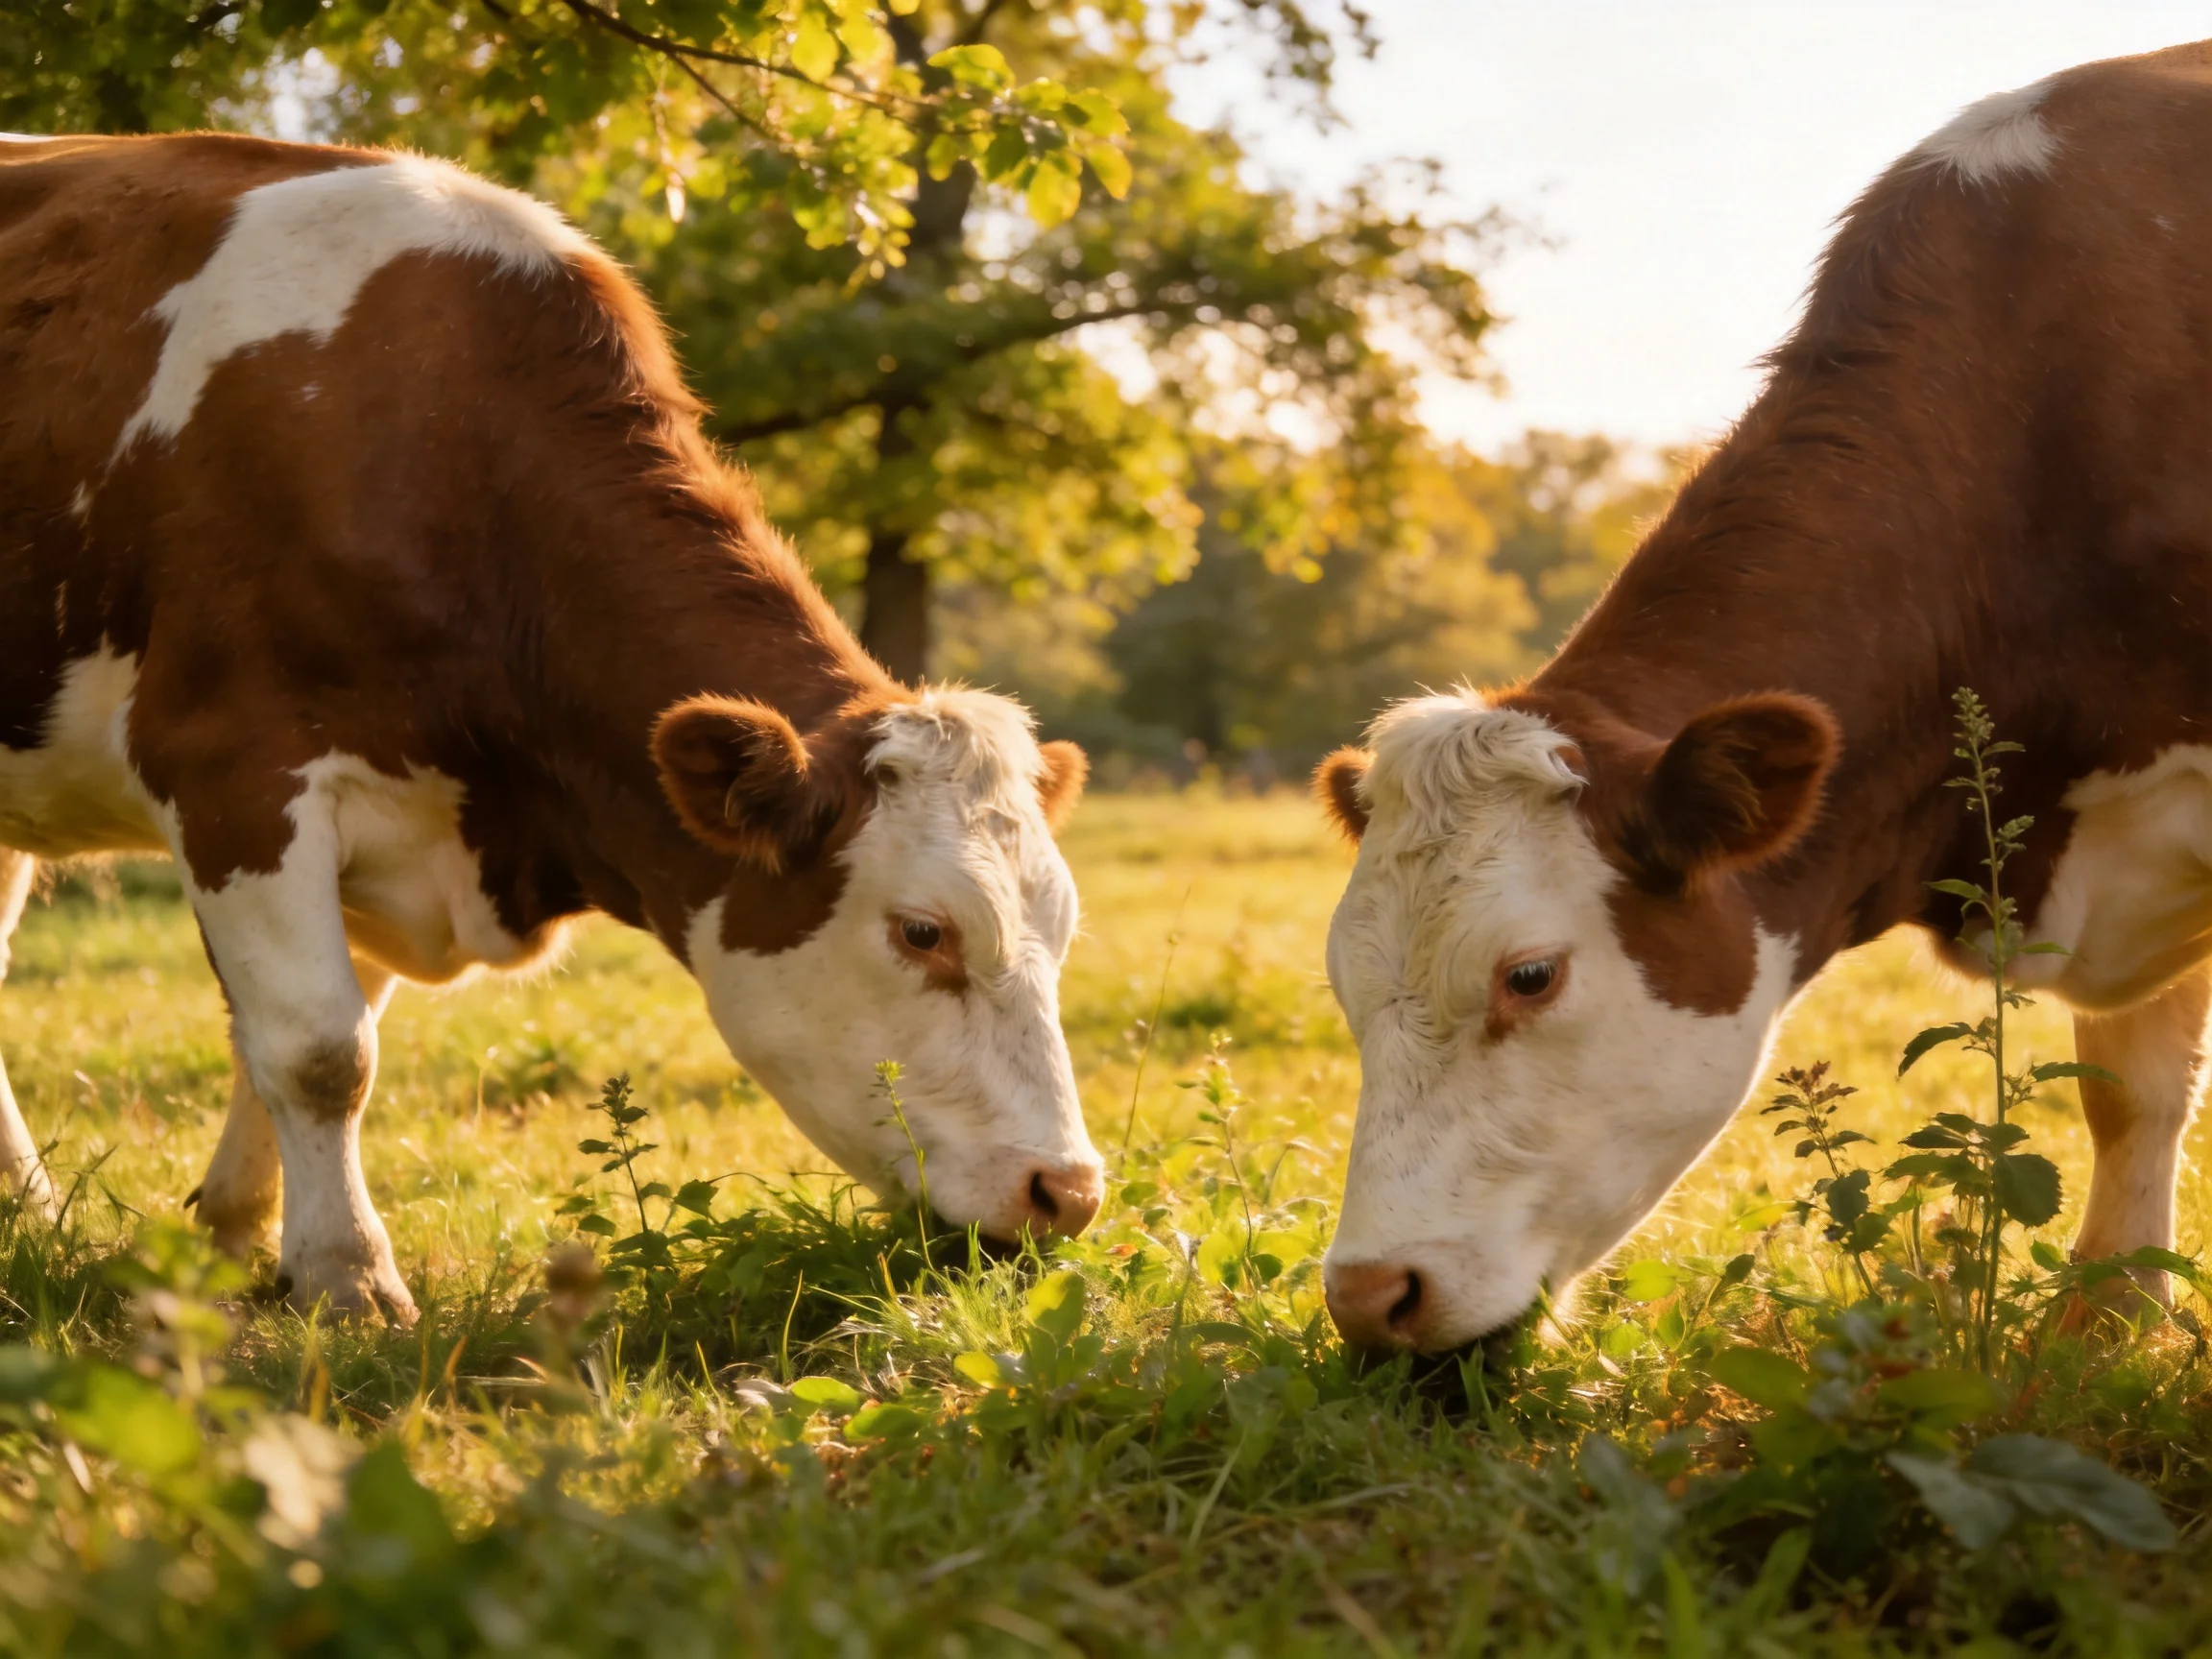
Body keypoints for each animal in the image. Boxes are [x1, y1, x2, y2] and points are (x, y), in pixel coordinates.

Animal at [0, 132, 1105, 1323]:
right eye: (922, 932)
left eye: (1061, 929)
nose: (1068, 1193)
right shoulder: (232, 771)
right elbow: (319, 1049)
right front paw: (349, 1279)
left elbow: (282, 1044)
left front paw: (237, 1240)